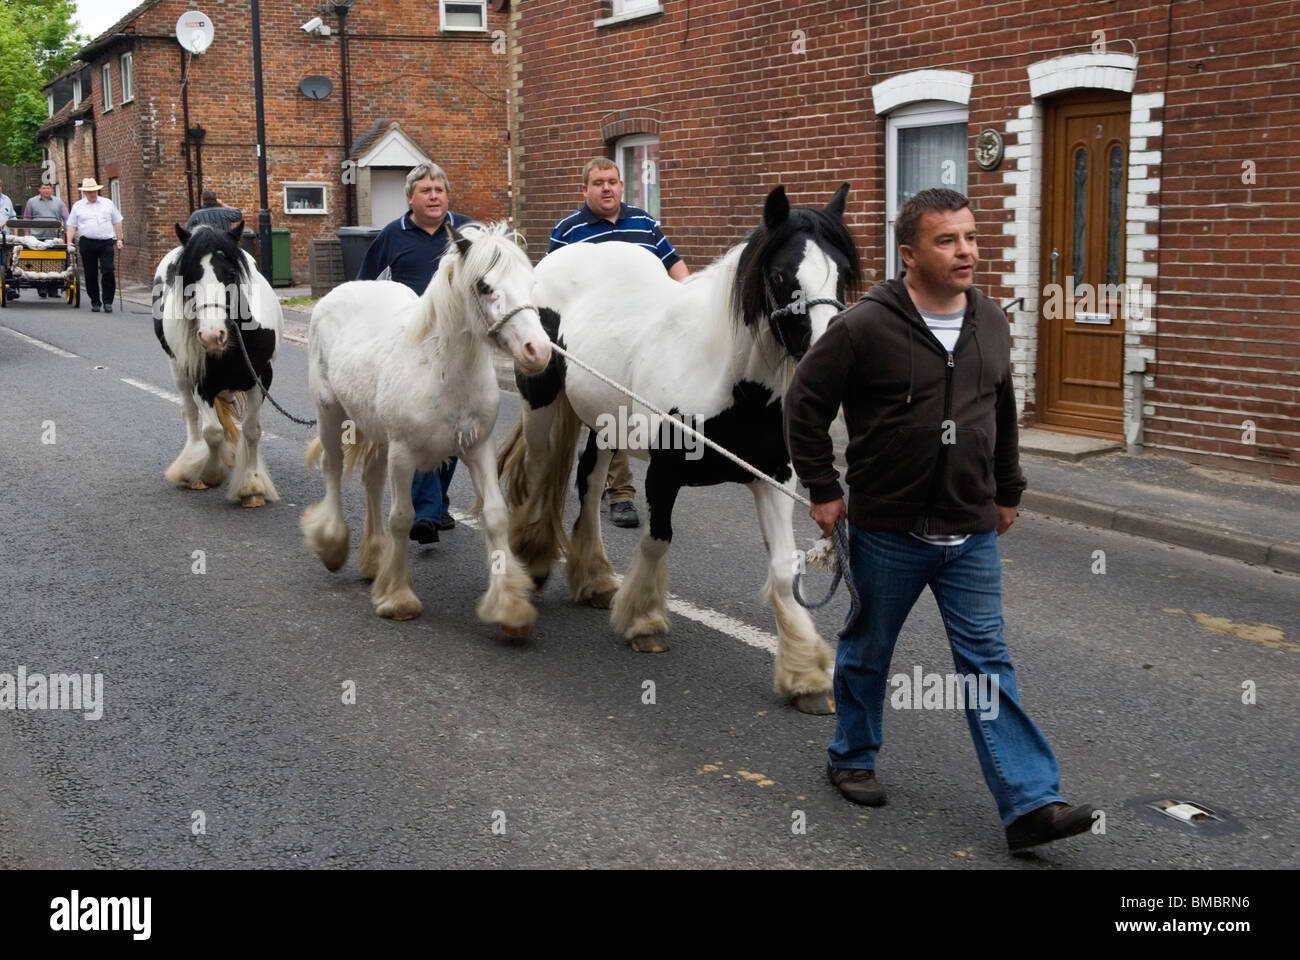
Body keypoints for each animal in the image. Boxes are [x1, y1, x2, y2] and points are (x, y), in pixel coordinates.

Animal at [153, 222, 283, 509]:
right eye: (189, 277)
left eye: (231, 273)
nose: (212, 336)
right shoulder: (203, 383)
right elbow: (212, 432)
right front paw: (210, 473)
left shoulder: (261, 377)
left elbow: (252, 431)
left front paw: (252, 486)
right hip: (178, 370)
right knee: (191, 414)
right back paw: (191, 467)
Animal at [301, 221, 551, 632]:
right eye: (484, 285)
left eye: (531, 282)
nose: (538, 351)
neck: (443, 368)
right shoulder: (404, 455)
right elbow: (402, 518)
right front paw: (398, 598)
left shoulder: (478, 448)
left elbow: (496, 516)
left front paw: (508, 605)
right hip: (330, 412)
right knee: (334, 469)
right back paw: (333, 544)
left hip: (377, 434)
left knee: (371, 481)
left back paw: (374, 559)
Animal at [501, 184, 857, 712]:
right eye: (780, 274)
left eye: (843, 270)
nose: (826, 359)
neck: (729, 378)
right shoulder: (663, 473)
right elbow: (657, 538)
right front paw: (644, 622)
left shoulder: (773, 478)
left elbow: (782, 567)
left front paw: (807, 676)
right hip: (541, 403)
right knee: (544, 475)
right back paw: (533, 558)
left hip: (606, 426)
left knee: (589, 483)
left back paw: (594, 580)